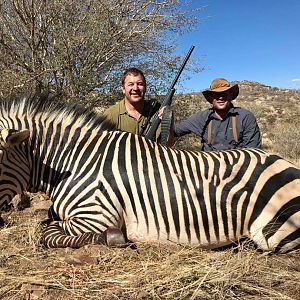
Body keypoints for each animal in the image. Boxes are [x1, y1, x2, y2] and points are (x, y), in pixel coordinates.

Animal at [0, 92, 298, 252]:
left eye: (0, 157)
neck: (76, 162)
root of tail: (285, 162)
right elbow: (46, 223)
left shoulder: (95, 216)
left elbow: (48, 233)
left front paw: (114, 238)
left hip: (271, 234)